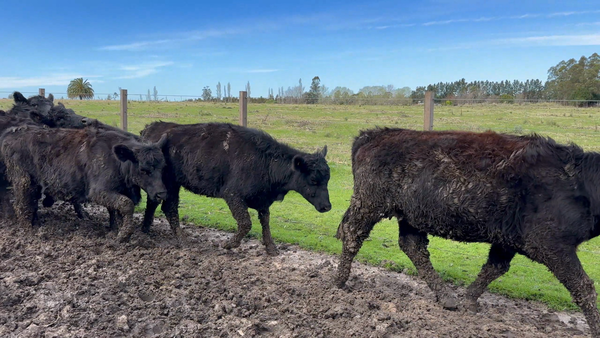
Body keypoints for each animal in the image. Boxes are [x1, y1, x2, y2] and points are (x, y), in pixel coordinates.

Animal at [1, 124, 169, 243]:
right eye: (143, 169)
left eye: (163, 166)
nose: (161, 193)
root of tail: (13, 131)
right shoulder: (98, 191)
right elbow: (126, 204)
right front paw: (123, 235)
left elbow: (115, 210)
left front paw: (115, 229)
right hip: (23, 180)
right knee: (21, 205)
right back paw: (29, 231)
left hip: (34, 184)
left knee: (32, 203)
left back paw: (36, 223)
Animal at [139, 121, 332, 254]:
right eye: (313, 180)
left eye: (327, 178)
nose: (327, 206)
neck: (265, 160)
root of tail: (152, 127)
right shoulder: (232, 195)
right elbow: (246, 223)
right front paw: (229, 244)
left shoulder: (263, 201)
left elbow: (265, 222)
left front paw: (271, 248)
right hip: (170, 184)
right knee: (169, 207)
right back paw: (182, 240)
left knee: (154, 203)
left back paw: (145, 230)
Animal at [336, 128, 600, 336]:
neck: (578, 184)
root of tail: (376, 133)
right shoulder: (550, 243)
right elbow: (583, 287)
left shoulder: (507, 239)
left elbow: (494, 267)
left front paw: (468, 300)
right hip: (369, 203)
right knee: (352, 234)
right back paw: (339, 283)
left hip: (411, 215)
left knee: (413, 247)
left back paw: (446, 297)